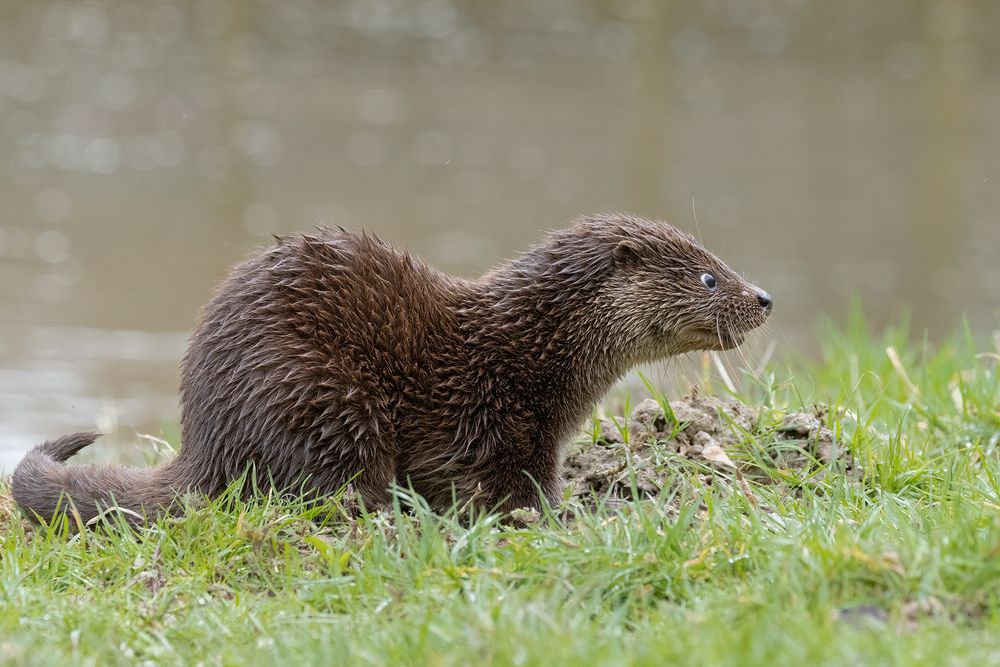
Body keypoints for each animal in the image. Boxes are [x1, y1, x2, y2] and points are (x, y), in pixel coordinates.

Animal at [12, 213, 772, 525]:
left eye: (721, 261)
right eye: (709, 276)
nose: (764, 296)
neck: (532, 348)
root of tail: (206, 436)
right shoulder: (495, 419)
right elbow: (503, 486)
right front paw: (565, 514)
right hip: (323, 395)